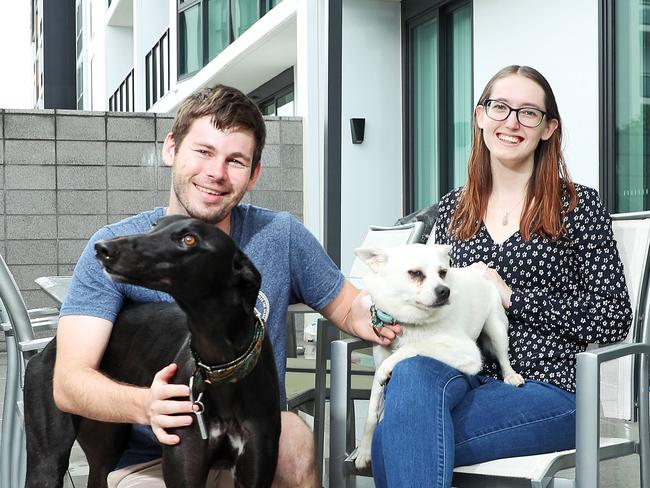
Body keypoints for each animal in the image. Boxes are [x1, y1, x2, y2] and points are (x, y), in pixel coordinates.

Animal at [352, 244, 524, 468]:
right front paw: (364, 450)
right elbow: (372, 413)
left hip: (496, 329)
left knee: (504, 358)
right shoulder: (379, 366)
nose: (444, 290)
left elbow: (413, 346)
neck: (411, 323)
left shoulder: (465, 350)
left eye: (443, 273)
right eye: (415, 273)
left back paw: (511, 375)